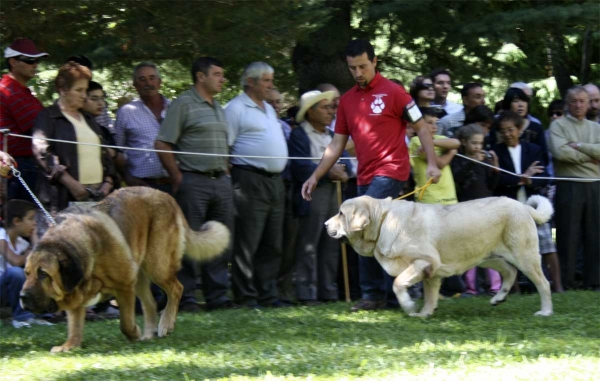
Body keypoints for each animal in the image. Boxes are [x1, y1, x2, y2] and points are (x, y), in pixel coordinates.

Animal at [20, 186, 230, 350]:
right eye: (27, 273)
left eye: (43, 274)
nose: (22, 297)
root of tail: (167, 196)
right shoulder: (76, 296)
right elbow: (75, 326)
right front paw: (69, 346)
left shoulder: (124, 285)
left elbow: (125, 323)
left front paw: (134, 334)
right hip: (140, 274)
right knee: (151, 303)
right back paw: (149, 335)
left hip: (156, 266)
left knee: (177, 289)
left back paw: (165, 324)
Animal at [326, 194, 556, 316]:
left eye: (340, 213)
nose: (326, 224)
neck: (382, 220)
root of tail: (522, 206)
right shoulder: (431, 272)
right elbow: (429, 295)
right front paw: (425, 314)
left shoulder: (424, 261)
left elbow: (398, 283)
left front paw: (409, 306)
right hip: (487, 257)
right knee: (509, 272)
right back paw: (499, 297)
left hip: (524, 256)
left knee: (543, 283)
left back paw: (545, 312)